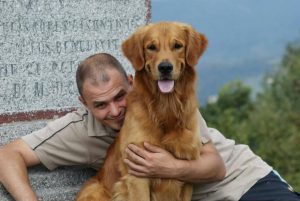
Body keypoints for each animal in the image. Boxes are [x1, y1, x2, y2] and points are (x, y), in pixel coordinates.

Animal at [77, 21, 209, 201]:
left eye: (177, 46)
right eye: (151, 47)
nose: (165, 67)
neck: (165, 109)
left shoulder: (188, 173)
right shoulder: (137, 176)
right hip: (95, 191)